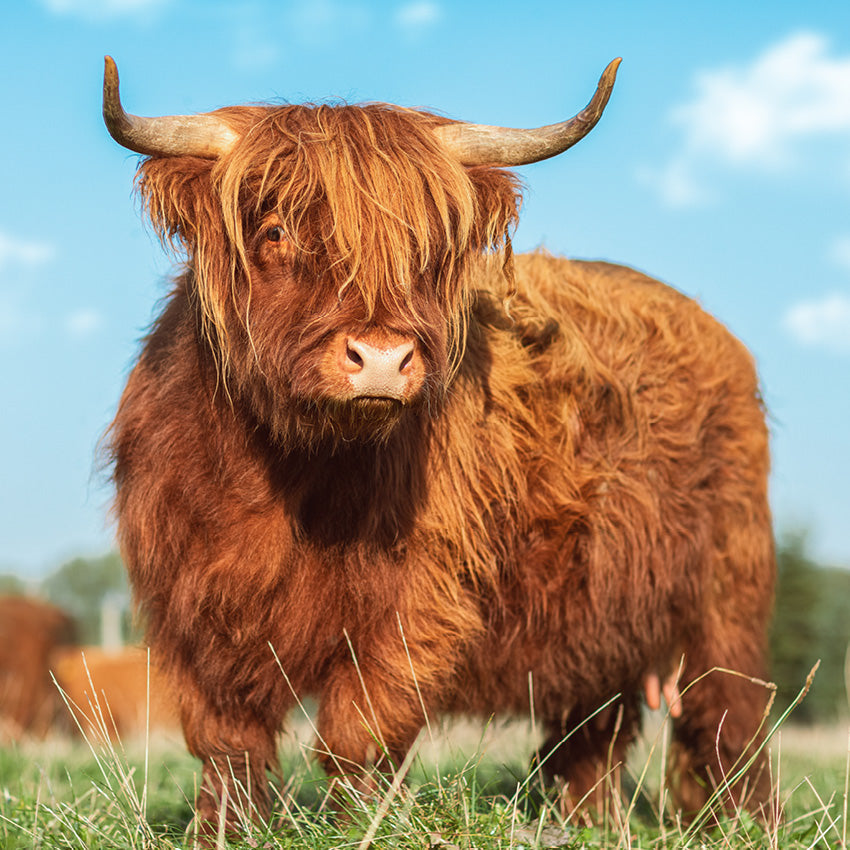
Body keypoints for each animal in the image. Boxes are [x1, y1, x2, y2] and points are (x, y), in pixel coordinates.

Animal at [102, 55, 775, 834]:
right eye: (274, 230)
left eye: (424, 247)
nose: (382, 358)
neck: (291, 479)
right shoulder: (194, 601)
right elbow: (227, 741)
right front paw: (223, 831)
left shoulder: (418, 600)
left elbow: (359, 733)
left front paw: (357, 830)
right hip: (600, 622)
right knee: (592, 736)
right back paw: (589, 825)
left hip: (727, 595)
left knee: (730, 721)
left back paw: (750, 825)